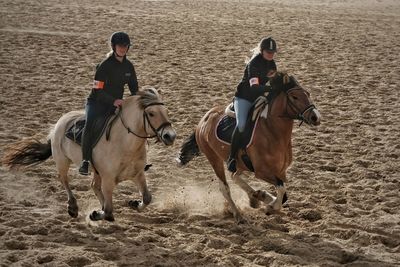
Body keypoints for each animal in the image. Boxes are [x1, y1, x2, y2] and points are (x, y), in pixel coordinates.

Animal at [2, 88, 175, 222]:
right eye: (151, 113)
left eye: (166, 112)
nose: (170, 136)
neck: (125, 144)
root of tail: (59, 123)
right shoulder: (108, 179)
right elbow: (109, 211)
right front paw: (96, 214)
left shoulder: (137, 174)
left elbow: (146, 198)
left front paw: (133, 203)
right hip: (62, 161)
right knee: (63, 179)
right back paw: (73, 207)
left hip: (96, 171)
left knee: (93, 186)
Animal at [178, 71, 322, 224]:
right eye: (295, 97)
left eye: (308, 93)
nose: (315, 117)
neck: (273, 132)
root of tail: (203, 120)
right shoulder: (262, 171)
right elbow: (281, 189)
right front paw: (270, 206)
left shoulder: (280, 171)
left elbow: (283, 193)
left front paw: (265, 198)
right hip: (214, 159)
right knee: (225, 188)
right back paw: (239, 215)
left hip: (240, 163)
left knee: (235, 176)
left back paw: (257, 197)